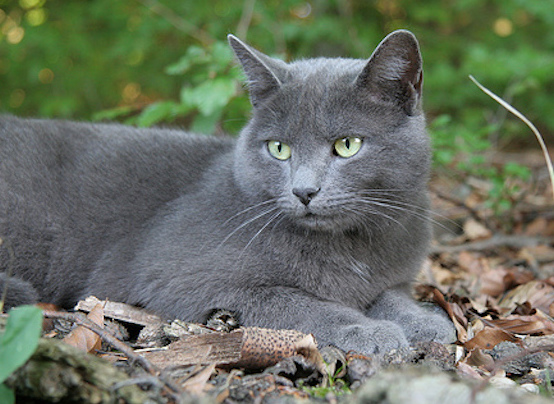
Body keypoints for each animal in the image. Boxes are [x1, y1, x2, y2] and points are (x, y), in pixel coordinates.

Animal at [1, 31, 452, 354]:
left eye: (347, 145)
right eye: (279, 148)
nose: (304, 191)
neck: (349, 247)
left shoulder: (395, 272)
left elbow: (391, 294)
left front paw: (425, 321)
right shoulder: (182, 276)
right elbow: (294, 302)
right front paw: (364, 328)